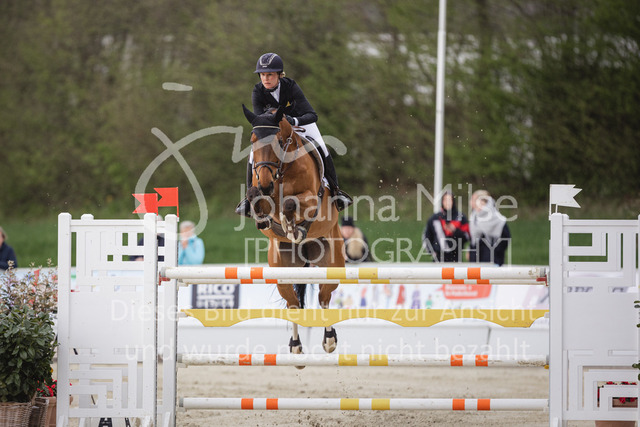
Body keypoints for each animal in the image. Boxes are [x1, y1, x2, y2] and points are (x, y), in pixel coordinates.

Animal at [242, 105, 344, 358]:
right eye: (253, 141)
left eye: (279, 140)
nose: (266, 184)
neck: (282, 172)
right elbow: (255, 196)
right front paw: (264, 219)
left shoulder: (311, 199)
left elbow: (290, 203)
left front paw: (291, 227)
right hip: (282, 269)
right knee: (294, 303)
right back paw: (295, 346)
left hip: (332, 262)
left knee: (324, 297)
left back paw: (329, 340)